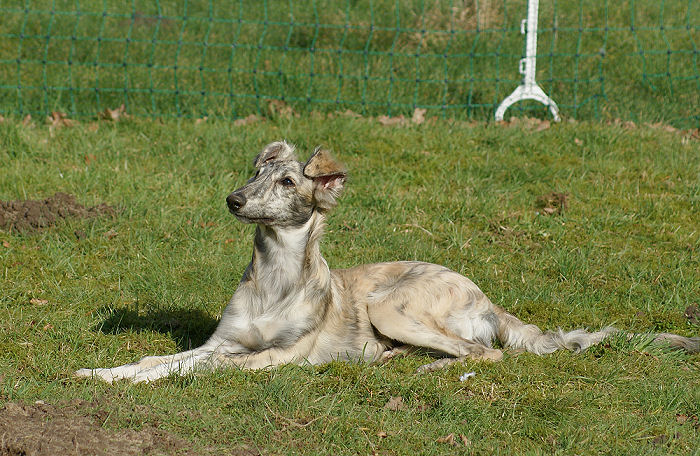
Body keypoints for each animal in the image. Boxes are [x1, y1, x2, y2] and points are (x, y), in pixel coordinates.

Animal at [74, 141, 696, 382]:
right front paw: (102, 374)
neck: (275, 278)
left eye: (286, 182)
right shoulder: (221, 343)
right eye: (254, 172)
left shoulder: (275, 357)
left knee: (485, 354)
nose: (233, 200)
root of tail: (488, 297)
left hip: (391, 307)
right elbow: (159, 359)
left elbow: (187, 370)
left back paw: (429, 368)